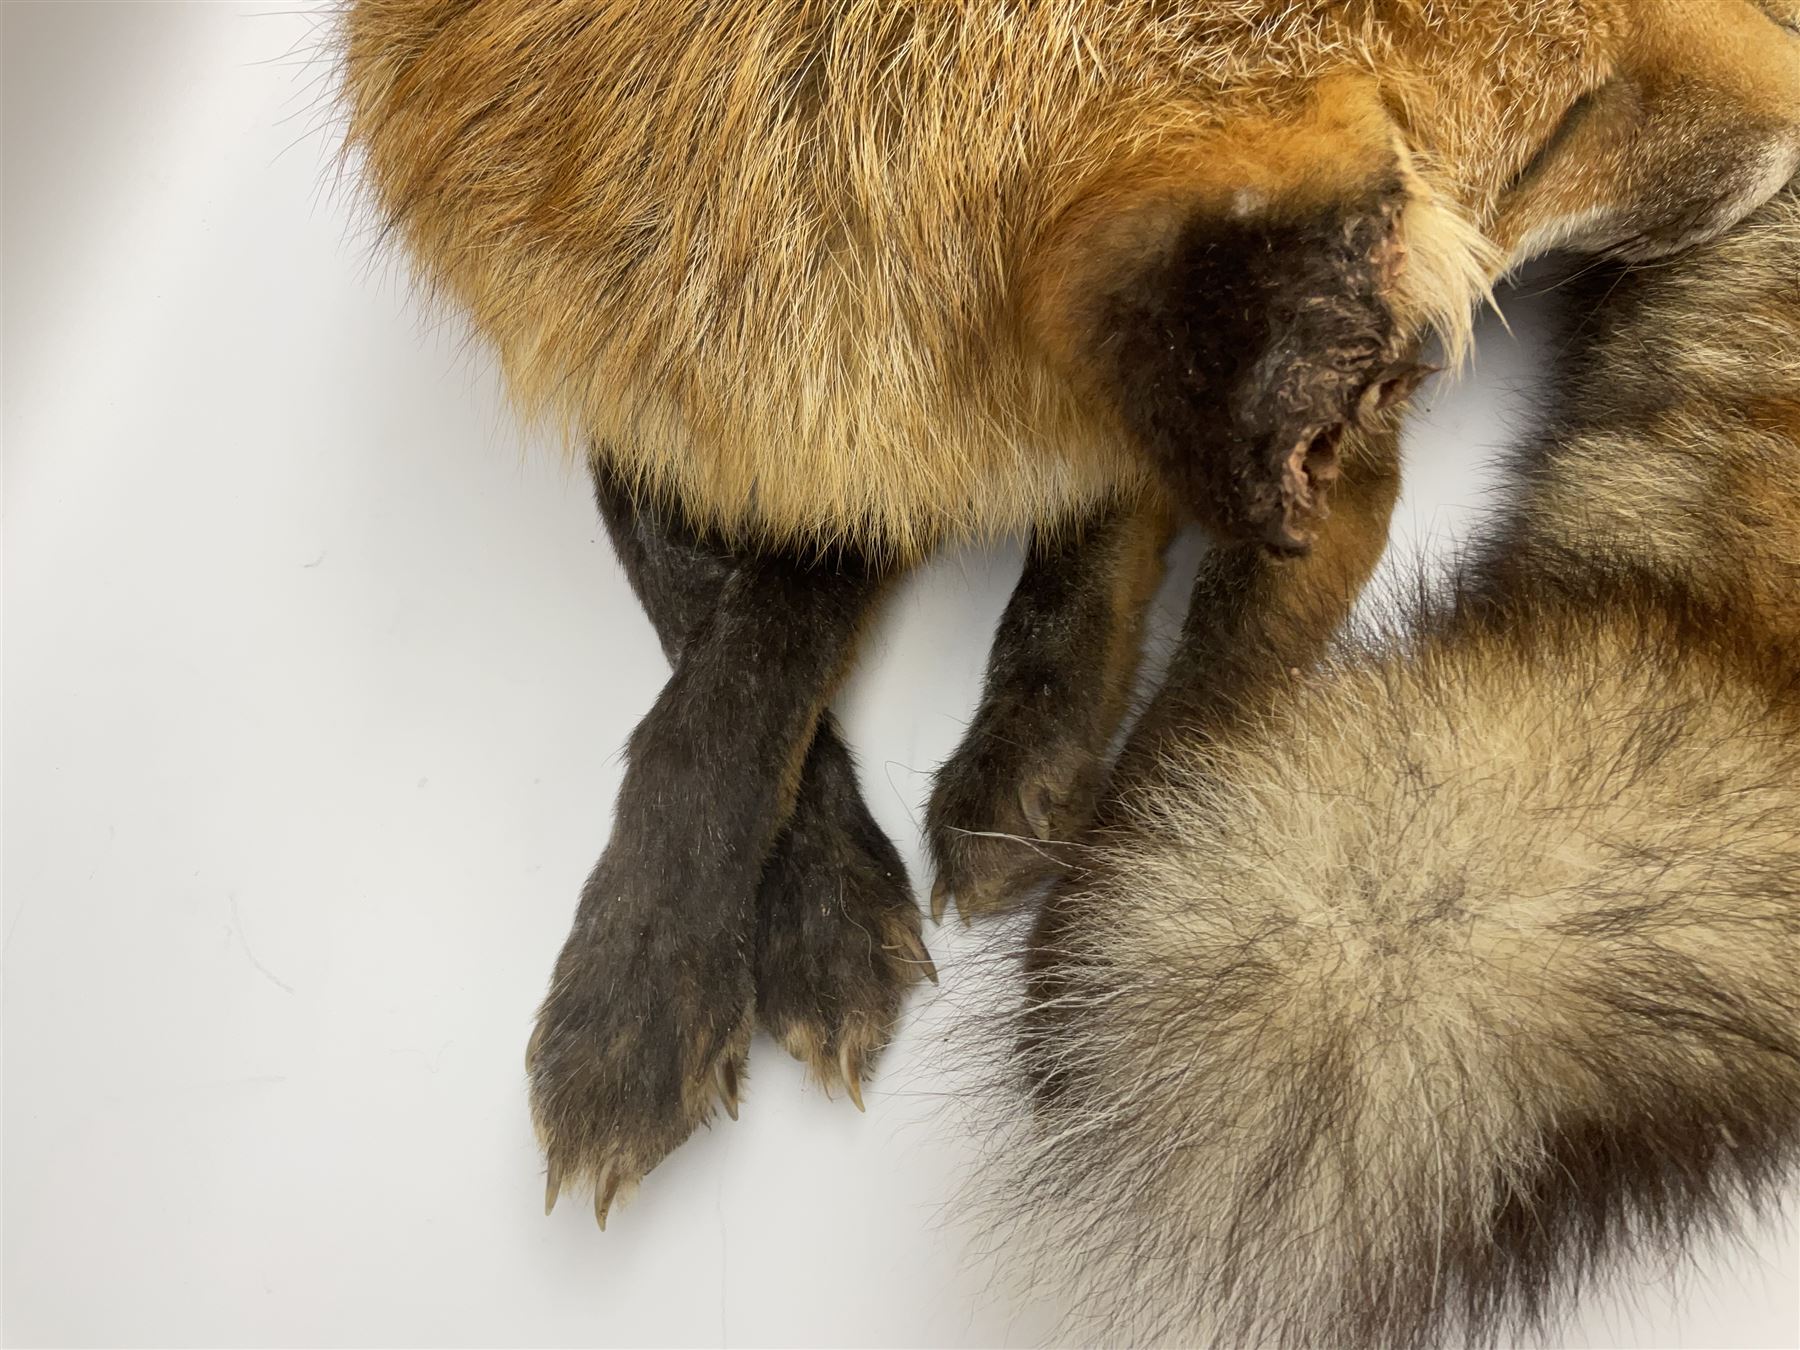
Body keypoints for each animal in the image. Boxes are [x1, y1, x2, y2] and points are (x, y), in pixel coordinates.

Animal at [336, 0, 1800, 1219]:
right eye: (1567, 124)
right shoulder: (660, 388)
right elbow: (731, 651)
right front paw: (663, 974)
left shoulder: (1322, 423)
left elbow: (1190, 682)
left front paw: (1107, 930)